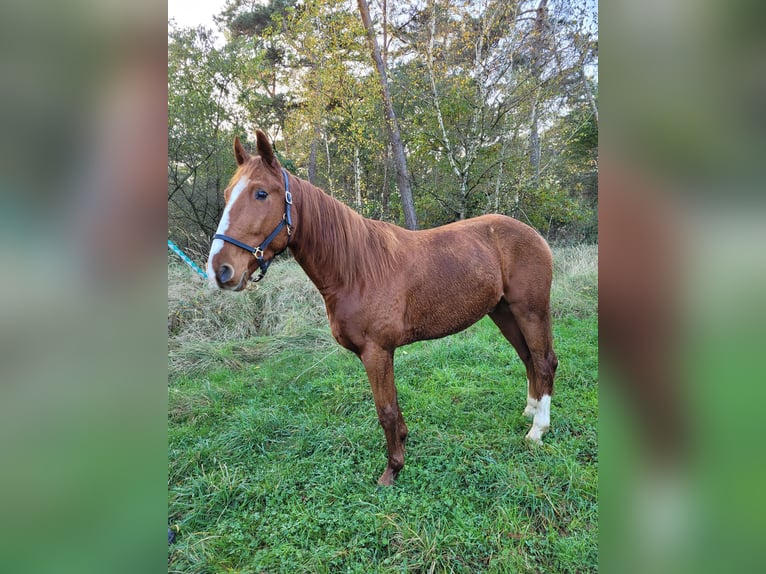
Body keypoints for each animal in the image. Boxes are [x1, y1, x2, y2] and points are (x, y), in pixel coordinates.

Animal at [207, 132, 560, 486]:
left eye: (261, 193)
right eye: (227, 194)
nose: (220, 270)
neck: (357, 269)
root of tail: (534, 235)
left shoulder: (376, 351)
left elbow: (385, 410)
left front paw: (393, 469)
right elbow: (392, 408)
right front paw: (402, 445)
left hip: (530, 310)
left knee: (544, 361)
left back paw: (537, 431)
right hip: (502, 312)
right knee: (528, 357)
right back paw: (530, 412)